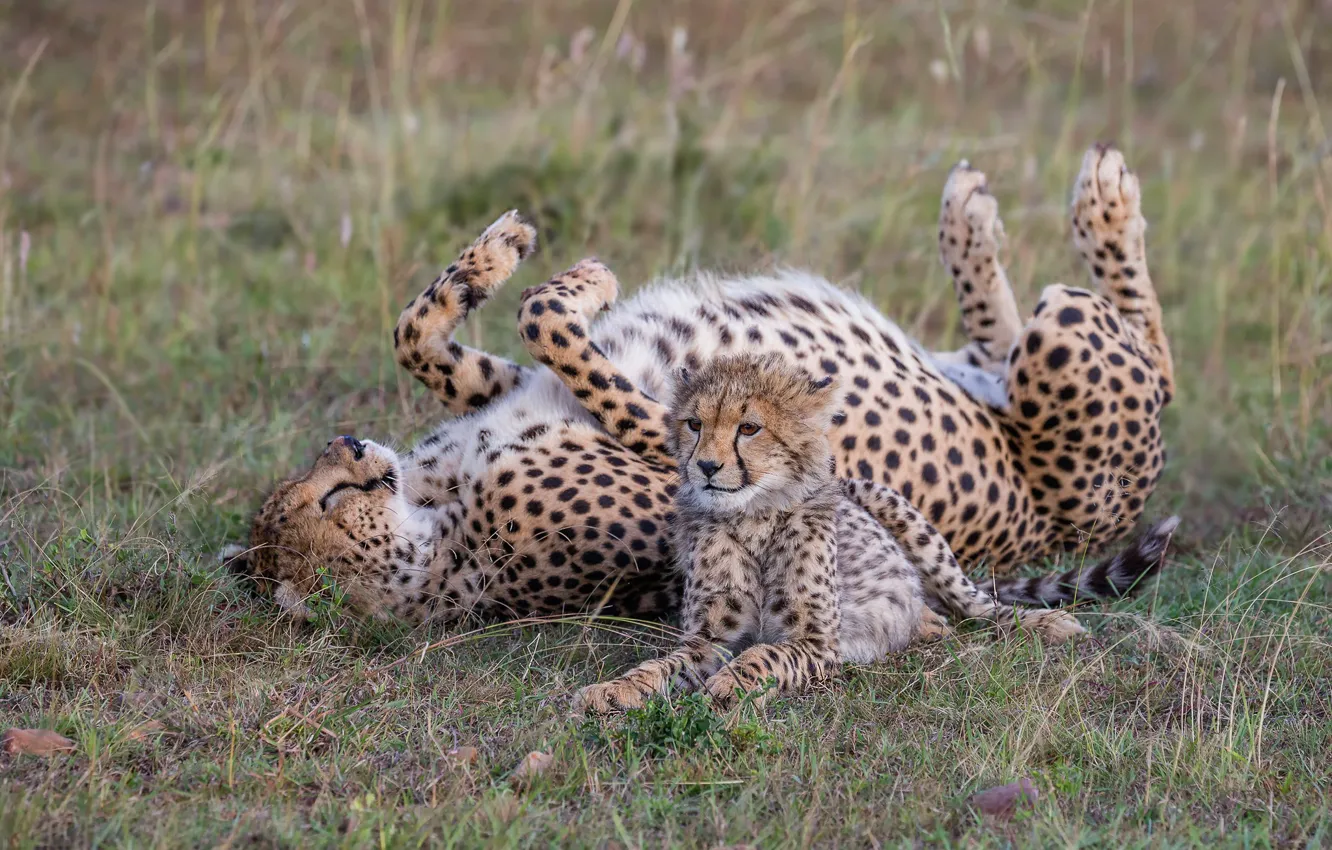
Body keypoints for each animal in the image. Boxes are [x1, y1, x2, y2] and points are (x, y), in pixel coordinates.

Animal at [225, 144, 1179, 633]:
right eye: (324, 502)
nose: (347, 444)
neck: (435, 522)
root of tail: (1074, 523)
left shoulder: (509, 389)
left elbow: (425, 337)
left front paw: (503, 259)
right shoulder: (693, 459)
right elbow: (549, 321)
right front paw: (585, 280)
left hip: (1009, 362)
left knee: (1012, 339)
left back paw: (974, 215)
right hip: (1071, 345)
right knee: (1145, 353)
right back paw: (1100, 203)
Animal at [573, 353, 1177, 713]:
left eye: (749, 427)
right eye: (695, 424)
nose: (706, 467)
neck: (753, 515)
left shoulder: (816, 641)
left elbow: (763, 655)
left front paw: (732, 683)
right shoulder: (708, 638)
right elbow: (664, 664)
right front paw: (616, 688)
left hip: (894, 507)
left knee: (979, 606)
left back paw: (1042, 623)